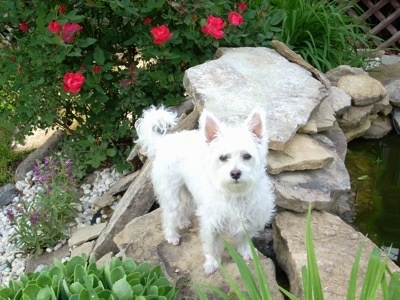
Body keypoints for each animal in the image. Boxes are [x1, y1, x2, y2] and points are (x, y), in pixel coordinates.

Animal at [134, 106, 276, 274]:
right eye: (222, 157)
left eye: (247, 156)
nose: (235, 173)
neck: (235, 194)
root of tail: (164, 141)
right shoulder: (211, 223)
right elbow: (212, 246)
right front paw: (212, 264)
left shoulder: (251, 219)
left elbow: (244, 239)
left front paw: (247, 252)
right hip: (171, 193)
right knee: (169, 215)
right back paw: (172, 236)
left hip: (188, 192)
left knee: (183, 207)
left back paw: (183, 223)